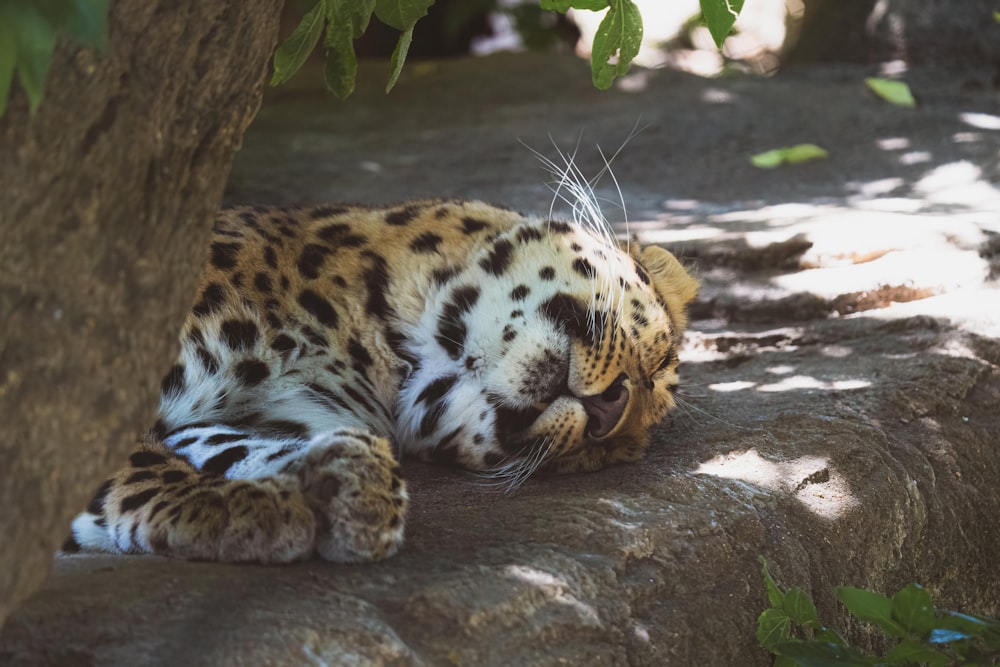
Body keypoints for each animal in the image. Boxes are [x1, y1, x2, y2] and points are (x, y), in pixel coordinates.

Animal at [60, 197, 696, 564]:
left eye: (598, 456)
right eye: (653, 355)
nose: (609, 413)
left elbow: (223, 442)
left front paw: (339, 484)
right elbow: (123, 458)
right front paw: (227, 505)